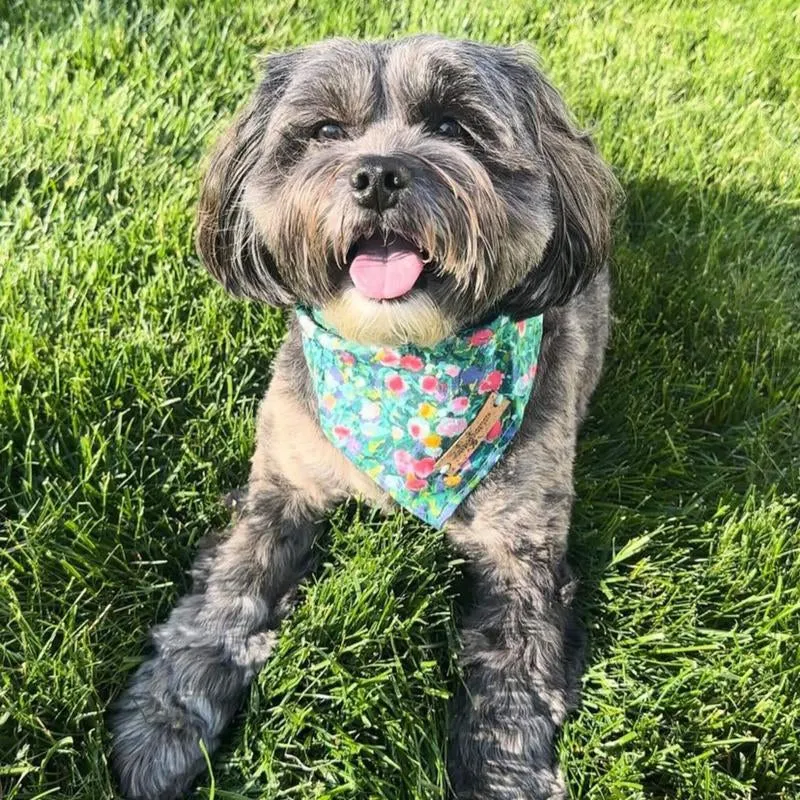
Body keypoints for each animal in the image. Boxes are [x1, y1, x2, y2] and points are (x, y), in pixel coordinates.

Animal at [108, 34, 620, 796]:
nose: (377, 175)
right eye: (324, 131)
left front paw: (503, 772)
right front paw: (165, 722)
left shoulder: (522, 550)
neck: (400, 368)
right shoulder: (277, 492)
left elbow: (514, 675)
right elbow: (223, 602)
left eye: (452, 124)